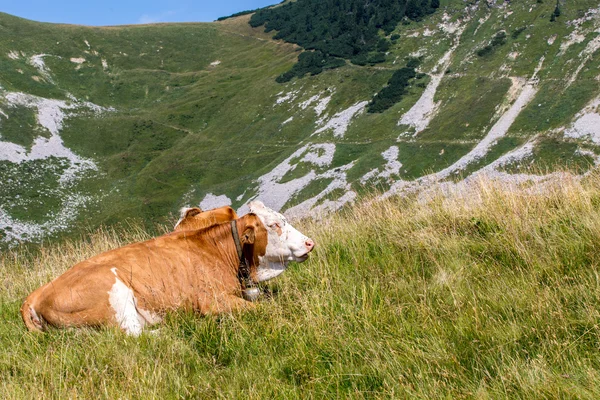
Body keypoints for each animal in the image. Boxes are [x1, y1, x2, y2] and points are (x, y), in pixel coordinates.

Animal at [19, 202, 314, 336]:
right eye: (275, 225)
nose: (310, 242)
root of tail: (34, 295)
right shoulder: (211, 300)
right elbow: (261, 309)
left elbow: (265, 296)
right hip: (114, 294)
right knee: (133, 336)